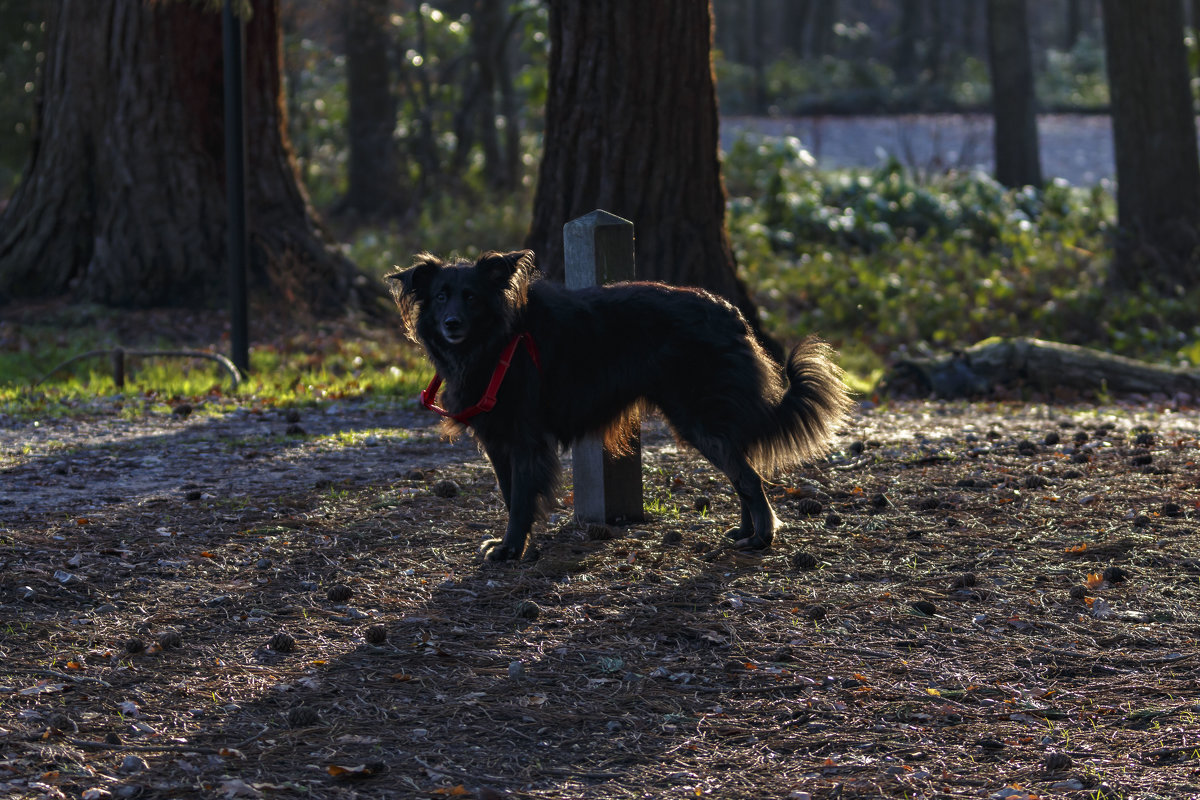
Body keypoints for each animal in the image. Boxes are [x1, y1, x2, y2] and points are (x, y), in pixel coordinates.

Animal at [388, 250, 849, 563]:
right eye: (441, 296)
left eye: (471, 297)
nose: (451, 324)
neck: (499, 339)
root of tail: (732, 314)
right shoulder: (499, 441)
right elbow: (508, 494)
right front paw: (517, 545)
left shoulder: (525, 441)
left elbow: (520, 499)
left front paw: (511, 549)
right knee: (743, 475)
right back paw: (744, 530)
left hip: (698, 419)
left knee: (749, 479)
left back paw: (762, 537)